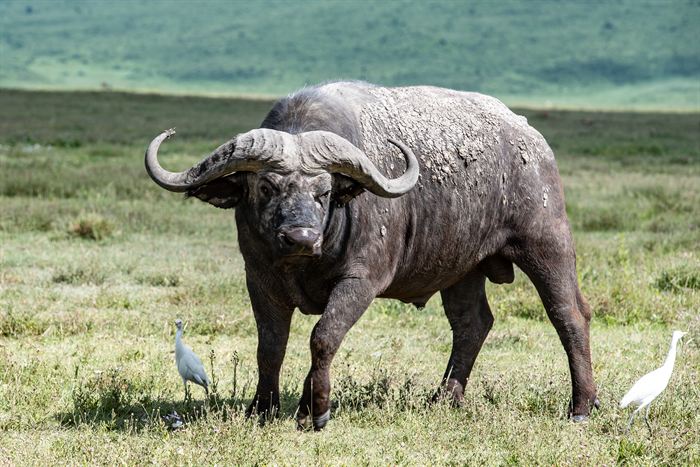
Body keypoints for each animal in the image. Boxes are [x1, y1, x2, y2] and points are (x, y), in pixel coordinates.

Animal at [145, 81, 598, 430]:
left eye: (324, 191)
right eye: (266, 187)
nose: (300, 236)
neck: (308, 259)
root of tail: (532, 140)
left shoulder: (361, 281)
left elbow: (323, 336)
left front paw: (315, 411)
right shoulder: (259, 279)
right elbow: (270, 346)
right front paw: (262, 409)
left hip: (547, 243)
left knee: (569, 315)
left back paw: (581, 407)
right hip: (461, 270)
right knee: (472, 324)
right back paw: (444, 398)